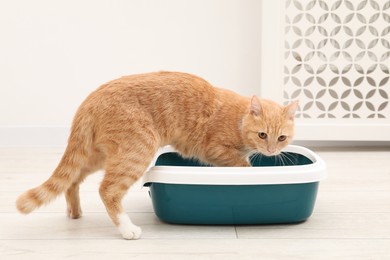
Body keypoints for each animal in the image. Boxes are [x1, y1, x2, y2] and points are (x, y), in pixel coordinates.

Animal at [13, 71, 298, 240]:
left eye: (281, 138)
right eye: (262, 135)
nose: (272, 151)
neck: (239, 119)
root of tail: (89, 101)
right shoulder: (215, 150)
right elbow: (243, 164)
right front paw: (250, 174)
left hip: (97, 155)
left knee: (72, 180)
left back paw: (75, 211)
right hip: (137, 150)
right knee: (107, 190)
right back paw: (127, 229)